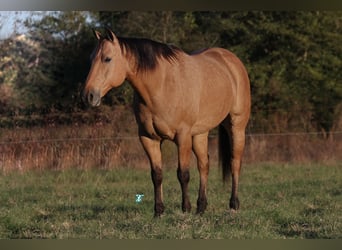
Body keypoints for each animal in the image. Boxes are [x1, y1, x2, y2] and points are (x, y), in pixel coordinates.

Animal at [81, 27, 250, 217]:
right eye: (91, 59)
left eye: (107, 58)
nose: (88, 96)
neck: (161, 86)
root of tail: (230, 60)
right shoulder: (148, 138)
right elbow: (157, 175)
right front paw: (159, 211)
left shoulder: (182, 136)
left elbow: (183, 174)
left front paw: (185, 209)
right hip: (200, 133)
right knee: (204, 165)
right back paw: (201, 207)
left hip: (236, 126)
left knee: (235, 162)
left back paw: (233, 204)